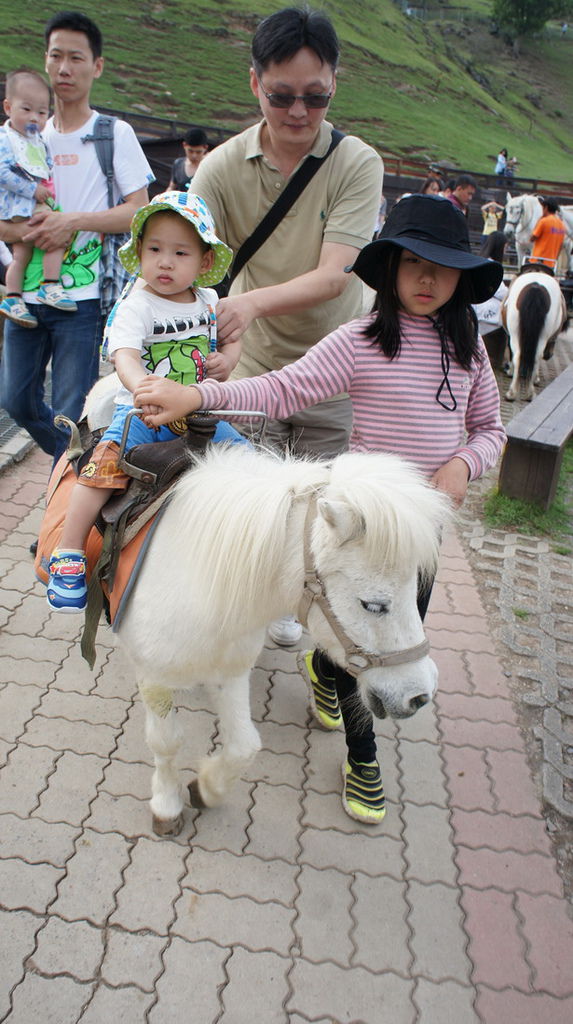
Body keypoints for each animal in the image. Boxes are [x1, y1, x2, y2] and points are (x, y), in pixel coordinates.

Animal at [103, 444, 448, 835]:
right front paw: (166, 805)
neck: (195, 578)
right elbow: (165, 743)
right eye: (373, 604)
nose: (419, 695)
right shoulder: (154, 679)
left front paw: (204, 789)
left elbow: (245, 746)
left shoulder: (230, 671)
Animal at [499, 264, 564, 399]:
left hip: (516, 333)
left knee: (520, 355)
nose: (549, 355)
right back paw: (529, 391)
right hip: (542, 335)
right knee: (535, 356)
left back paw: (514, 392)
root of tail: (536, 286)